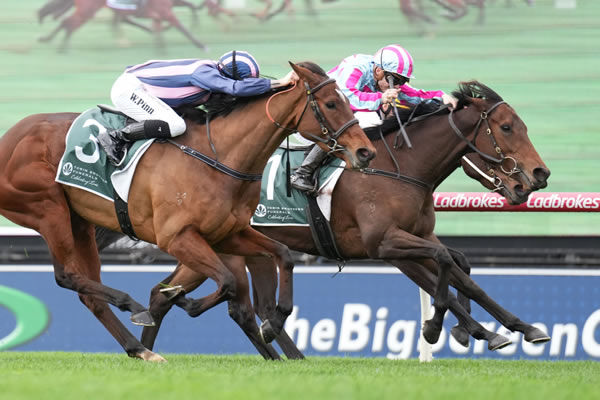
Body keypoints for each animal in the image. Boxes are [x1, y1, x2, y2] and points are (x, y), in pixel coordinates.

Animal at [0, 62, 376, 362]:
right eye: (331, 103)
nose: (365, 152)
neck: (220, 156)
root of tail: (8, 139)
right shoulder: (177, 238)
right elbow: (227, 284)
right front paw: (183, 301)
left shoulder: (227, 233)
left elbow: (282, 256)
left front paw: (274, 321)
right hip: (47, 209)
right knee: (66, 276)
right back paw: (134, 308)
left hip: (79, 222)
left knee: (87, 292)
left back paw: (141, 349)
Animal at [38, 0, 206, 51]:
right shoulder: (166, 12)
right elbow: (182, 27)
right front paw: (201, 45)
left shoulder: (162, 11)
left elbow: (190, 7)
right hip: (87, 11)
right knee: (69, 24)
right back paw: (61, 48)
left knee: (66, 23)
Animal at [130, 79, 548, 358]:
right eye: (507, 127)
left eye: (525, 126)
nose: (539, 175)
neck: (398, 168)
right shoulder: (387, 245)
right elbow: (443, 272)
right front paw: (440, 329)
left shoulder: (417, 239)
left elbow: (463, 272)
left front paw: (513, 329)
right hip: (209, 244)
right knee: (207, 301)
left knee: (178, 298)